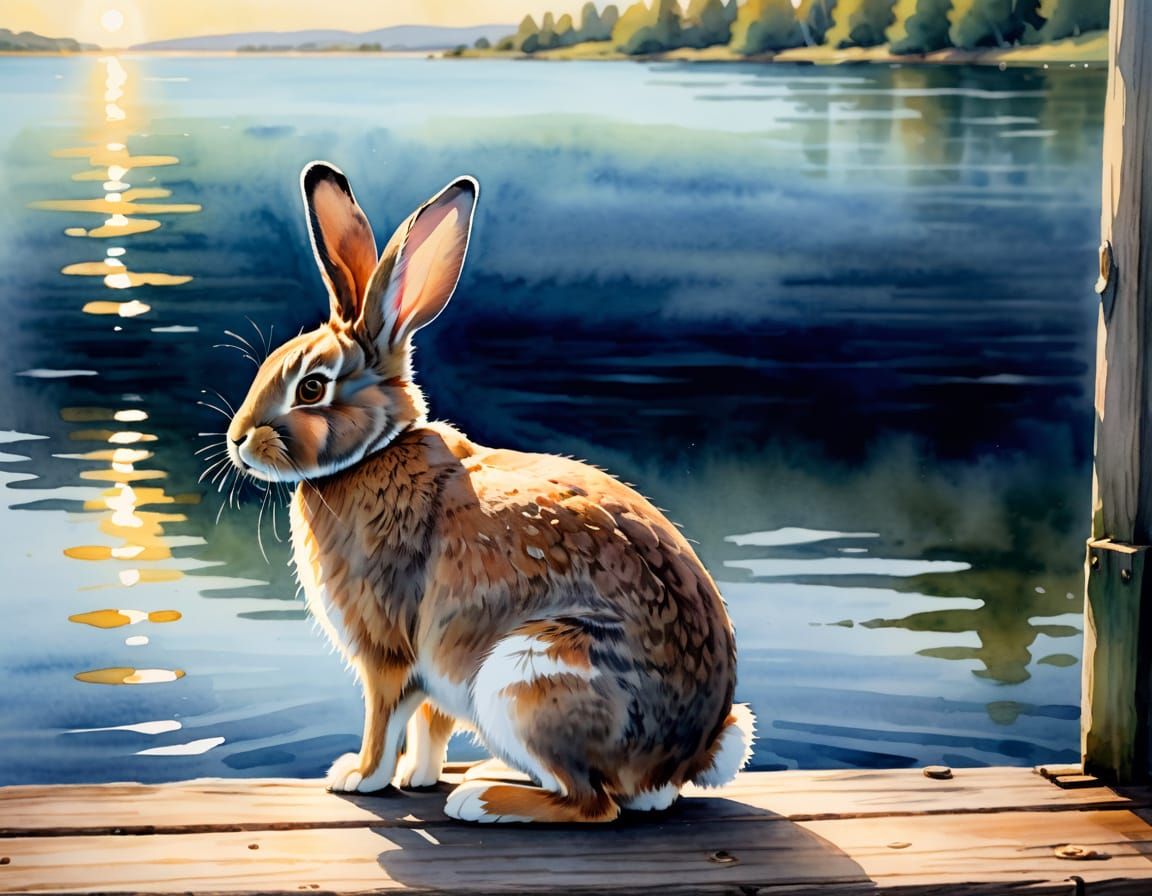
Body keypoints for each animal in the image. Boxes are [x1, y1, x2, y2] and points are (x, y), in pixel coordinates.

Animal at [223, 161, 755, 823]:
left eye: (313, 388)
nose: (237, 440)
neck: (373, 452)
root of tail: (686, 757)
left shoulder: (386, 650)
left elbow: (384, 719)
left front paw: (358, 778)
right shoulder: (435, 666)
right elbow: (428, 724)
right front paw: (418, 776)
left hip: (528, 678)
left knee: (593, 803)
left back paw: (482, 797)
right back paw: (481, 775)